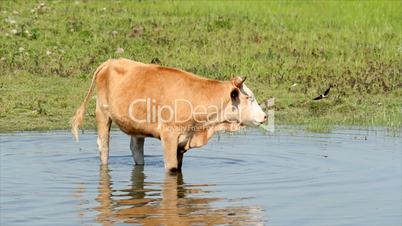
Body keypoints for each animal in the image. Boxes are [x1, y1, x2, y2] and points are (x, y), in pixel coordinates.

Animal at [71, 57, 266, 171]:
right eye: (249, 98)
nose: (265, 116)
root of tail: (111, 61)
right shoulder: (169, 136)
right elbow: (171, 169)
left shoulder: (183, 141)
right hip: (102, 114)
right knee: (104, 146)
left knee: (136, 149)